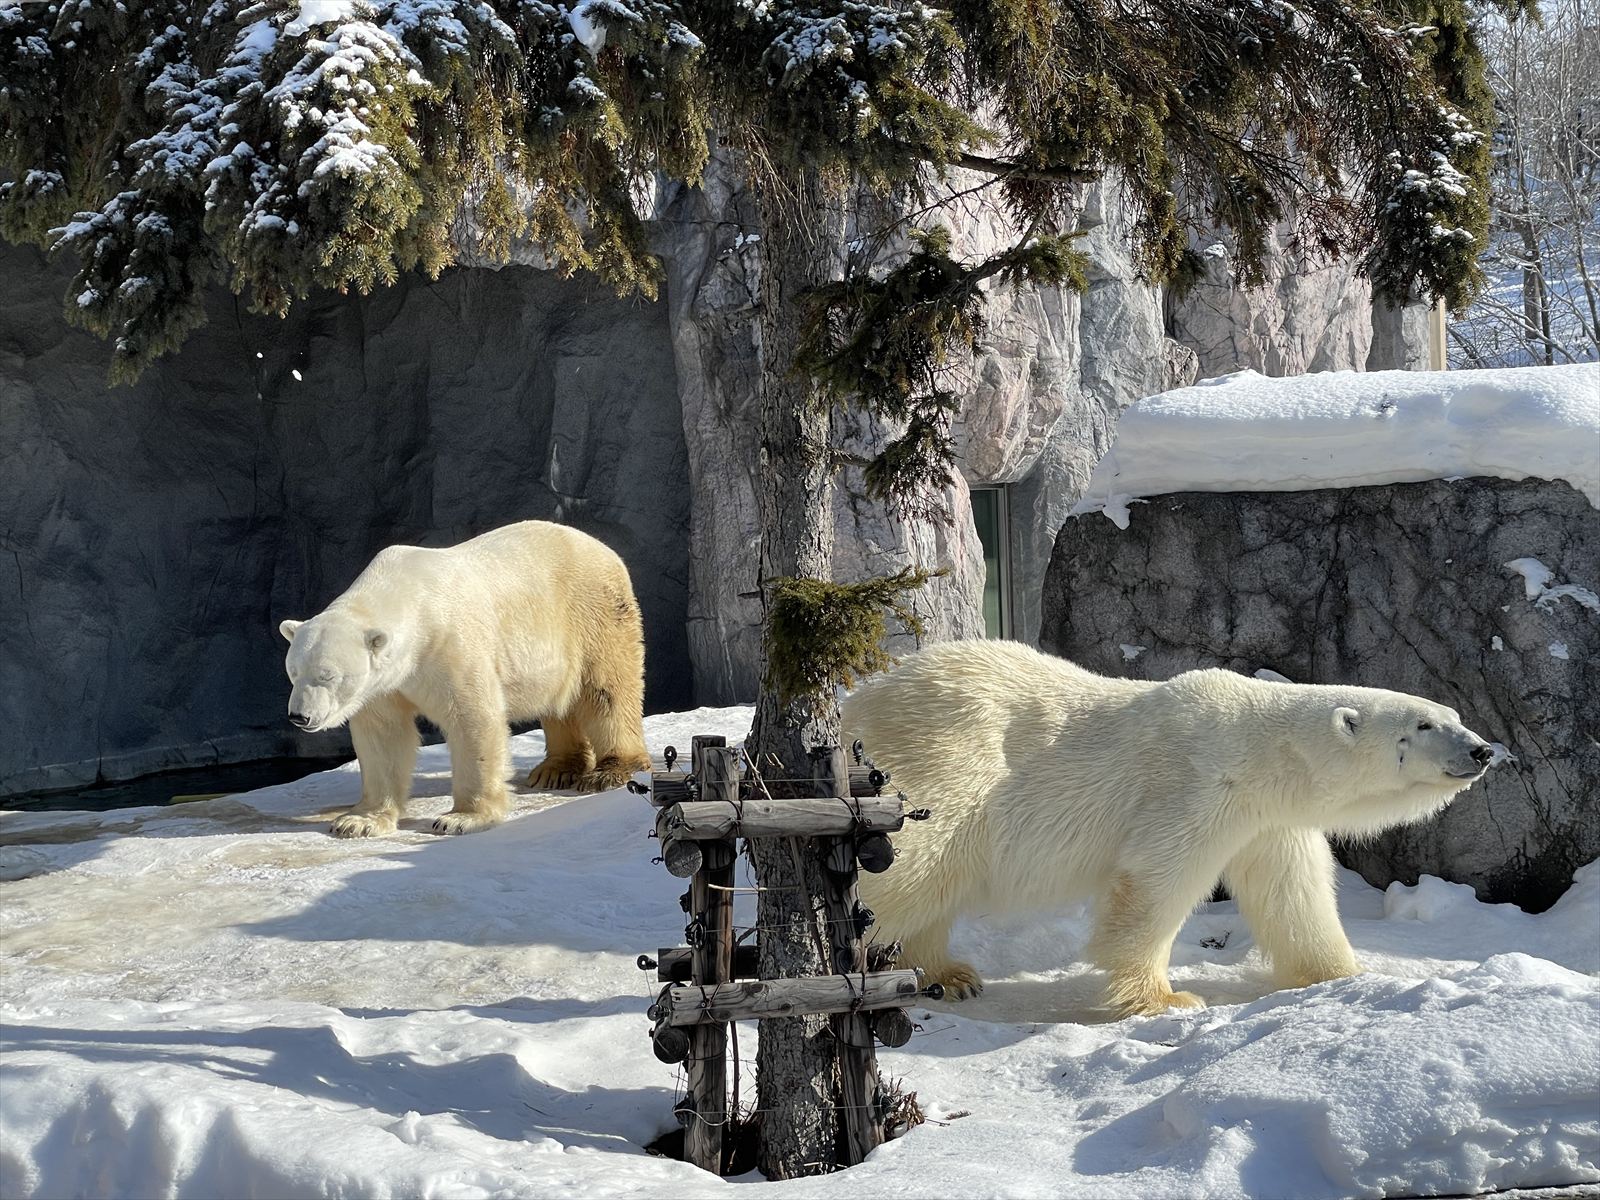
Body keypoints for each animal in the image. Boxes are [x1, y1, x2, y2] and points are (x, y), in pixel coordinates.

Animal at [278, 520, 652, 838]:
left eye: (328, 675)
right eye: (293, 672)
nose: (300, 717)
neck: (409, 596)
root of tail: (605, 549)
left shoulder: (449, 645)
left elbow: (473, 717)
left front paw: (461, 818)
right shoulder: (384, 684)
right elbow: (384, 735)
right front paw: (358, 821)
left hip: (593, 614)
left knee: (606, 689)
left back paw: (611, 770)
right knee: (560, 701)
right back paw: (556, 769)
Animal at [842, 639, 1497, 1017]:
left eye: (1455, 715)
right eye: (1423, 725)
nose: (1484, 750)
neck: (1259, 749)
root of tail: (858, 702)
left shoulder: (1266, 820)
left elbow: (1292, 892)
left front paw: (1343, 975)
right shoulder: (1197, 786)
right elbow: (1155, 882)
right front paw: (1166, 998)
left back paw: (948, 976)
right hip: (940, 765)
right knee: (907, 865)